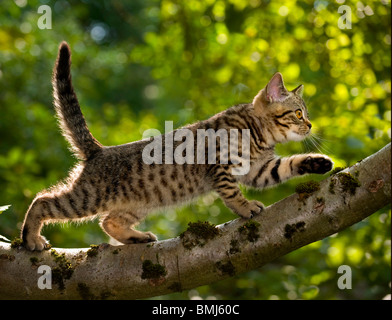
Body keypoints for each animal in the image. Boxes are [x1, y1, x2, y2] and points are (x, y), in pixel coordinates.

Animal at [21, 42, 332, 250]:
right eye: (298, 113)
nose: (310, 125)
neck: (259, 136)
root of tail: (99, 150)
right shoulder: (220, 165)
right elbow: (232, 192)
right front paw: (245, 207)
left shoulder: (258, 170)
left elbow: (288, 165)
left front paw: (319, 161)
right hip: (87, 197)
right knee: (42, 200)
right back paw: (32, 237)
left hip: (137, 204)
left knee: (108, 222)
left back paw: (136, 237)